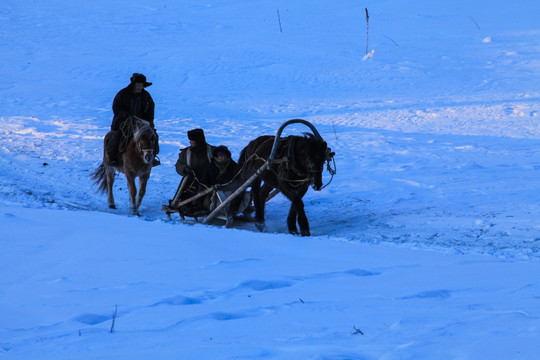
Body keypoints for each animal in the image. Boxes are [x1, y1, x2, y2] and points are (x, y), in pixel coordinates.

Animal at [162, 119, 336, 236]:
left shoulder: (301, 186)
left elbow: (296, 204)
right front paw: (304, 228)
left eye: (323, 159)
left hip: (269, 180)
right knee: (256, 194)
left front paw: (293, 228)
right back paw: (258, 221)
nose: (318, 184)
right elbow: (298, 203)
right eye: (310, 158)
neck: (291, 158)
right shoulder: (284, 185)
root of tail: (252, 144)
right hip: (256, 176)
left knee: (261, 195)